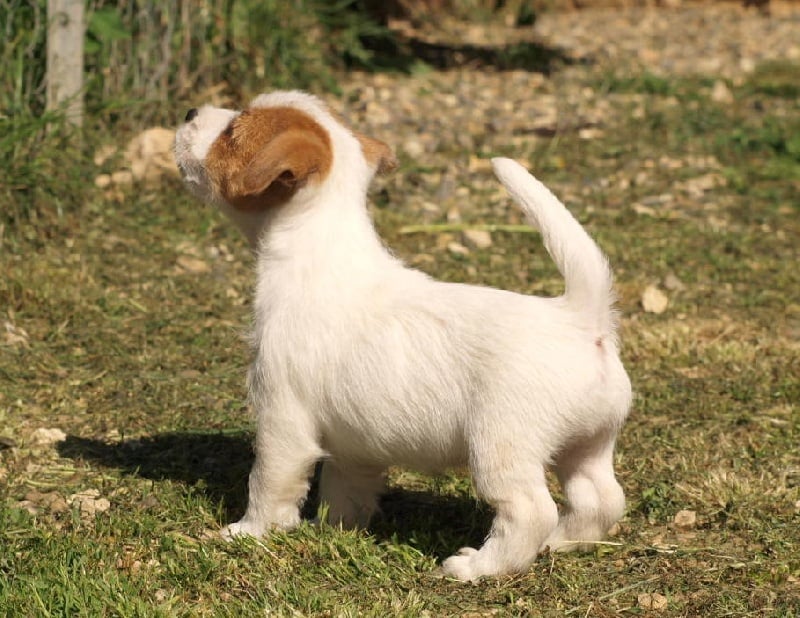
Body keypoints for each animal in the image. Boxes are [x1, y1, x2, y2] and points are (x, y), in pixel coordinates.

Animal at [174, 91, 632, 581]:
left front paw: (247, 532)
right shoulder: (352, 445)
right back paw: (562, 543)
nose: (189, 112)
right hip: (588, 444)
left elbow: (268, 484)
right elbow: (345, 492)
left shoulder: (282, 420)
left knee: (529, 510)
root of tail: (583, 319)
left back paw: (476, 566)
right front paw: (332, 531)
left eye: (232, 132)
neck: (318, 248)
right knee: (600, 499)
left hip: (502, 449)